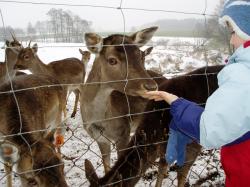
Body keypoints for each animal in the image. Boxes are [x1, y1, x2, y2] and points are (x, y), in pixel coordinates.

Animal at [79, 26, 159, 174]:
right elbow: (106, 166)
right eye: (112, 60)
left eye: (140, 55)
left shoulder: (123, 132)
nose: (151, 87)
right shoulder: (100, 139)